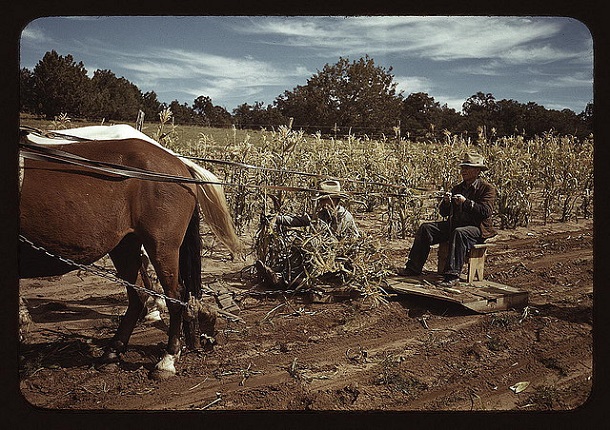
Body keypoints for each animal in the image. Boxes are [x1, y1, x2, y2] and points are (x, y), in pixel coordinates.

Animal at [17, 133, 240, 378]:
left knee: (175, 296)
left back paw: (167, 359)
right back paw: (113, 352)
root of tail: (179, 163)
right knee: (139, 296)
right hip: (125, 245)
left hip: (162, 246)